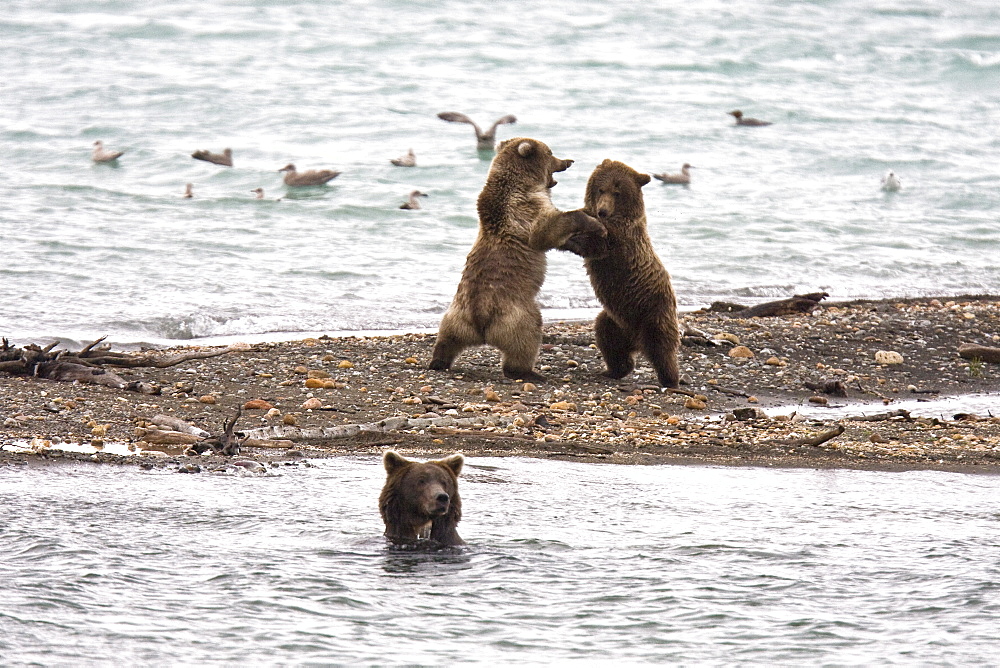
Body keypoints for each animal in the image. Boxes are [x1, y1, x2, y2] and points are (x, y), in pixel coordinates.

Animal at [428, 136, 604, 380]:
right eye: (551, 152)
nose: (568, 161)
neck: (522, 183)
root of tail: (481, 321)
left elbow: (560, 240)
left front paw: (584, 243)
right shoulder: (525, 209)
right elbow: (549, 229)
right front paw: (594, 223)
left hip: (456, 316)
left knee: (447, 338)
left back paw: (438, 361)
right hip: (515, 316)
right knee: (526, 339)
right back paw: (530, 372)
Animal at [584, 159, 684, 388]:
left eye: (617, 192)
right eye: (601, 189)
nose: (602, 211)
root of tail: (635, 341)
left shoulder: (624, 239)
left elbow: (607, 238)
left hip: (654, 313)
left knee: (662, 349)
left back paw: (670, 380)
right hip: (615, 320)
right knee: (608, 338)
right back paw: (613, 370)